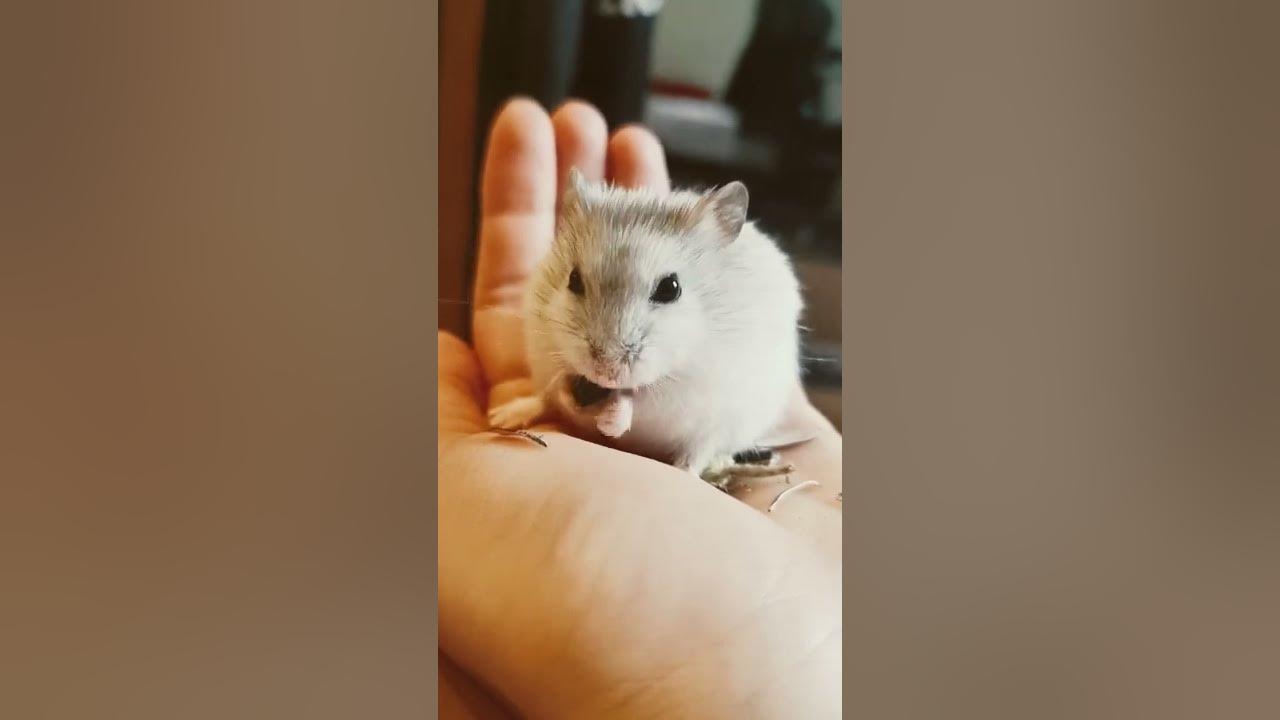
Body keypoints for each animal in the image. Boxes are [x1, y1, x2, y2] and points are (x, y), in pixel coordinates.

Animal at [487, 168, 804, 480]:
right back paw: (502, 415)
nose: (605, 373)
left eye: (670, 288)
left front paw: (608, 423)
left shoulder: (684, 391)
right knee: (542, 398)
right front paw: (572, 399)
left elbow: (638, 401)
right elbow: (559, 383)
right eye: (573, 279)